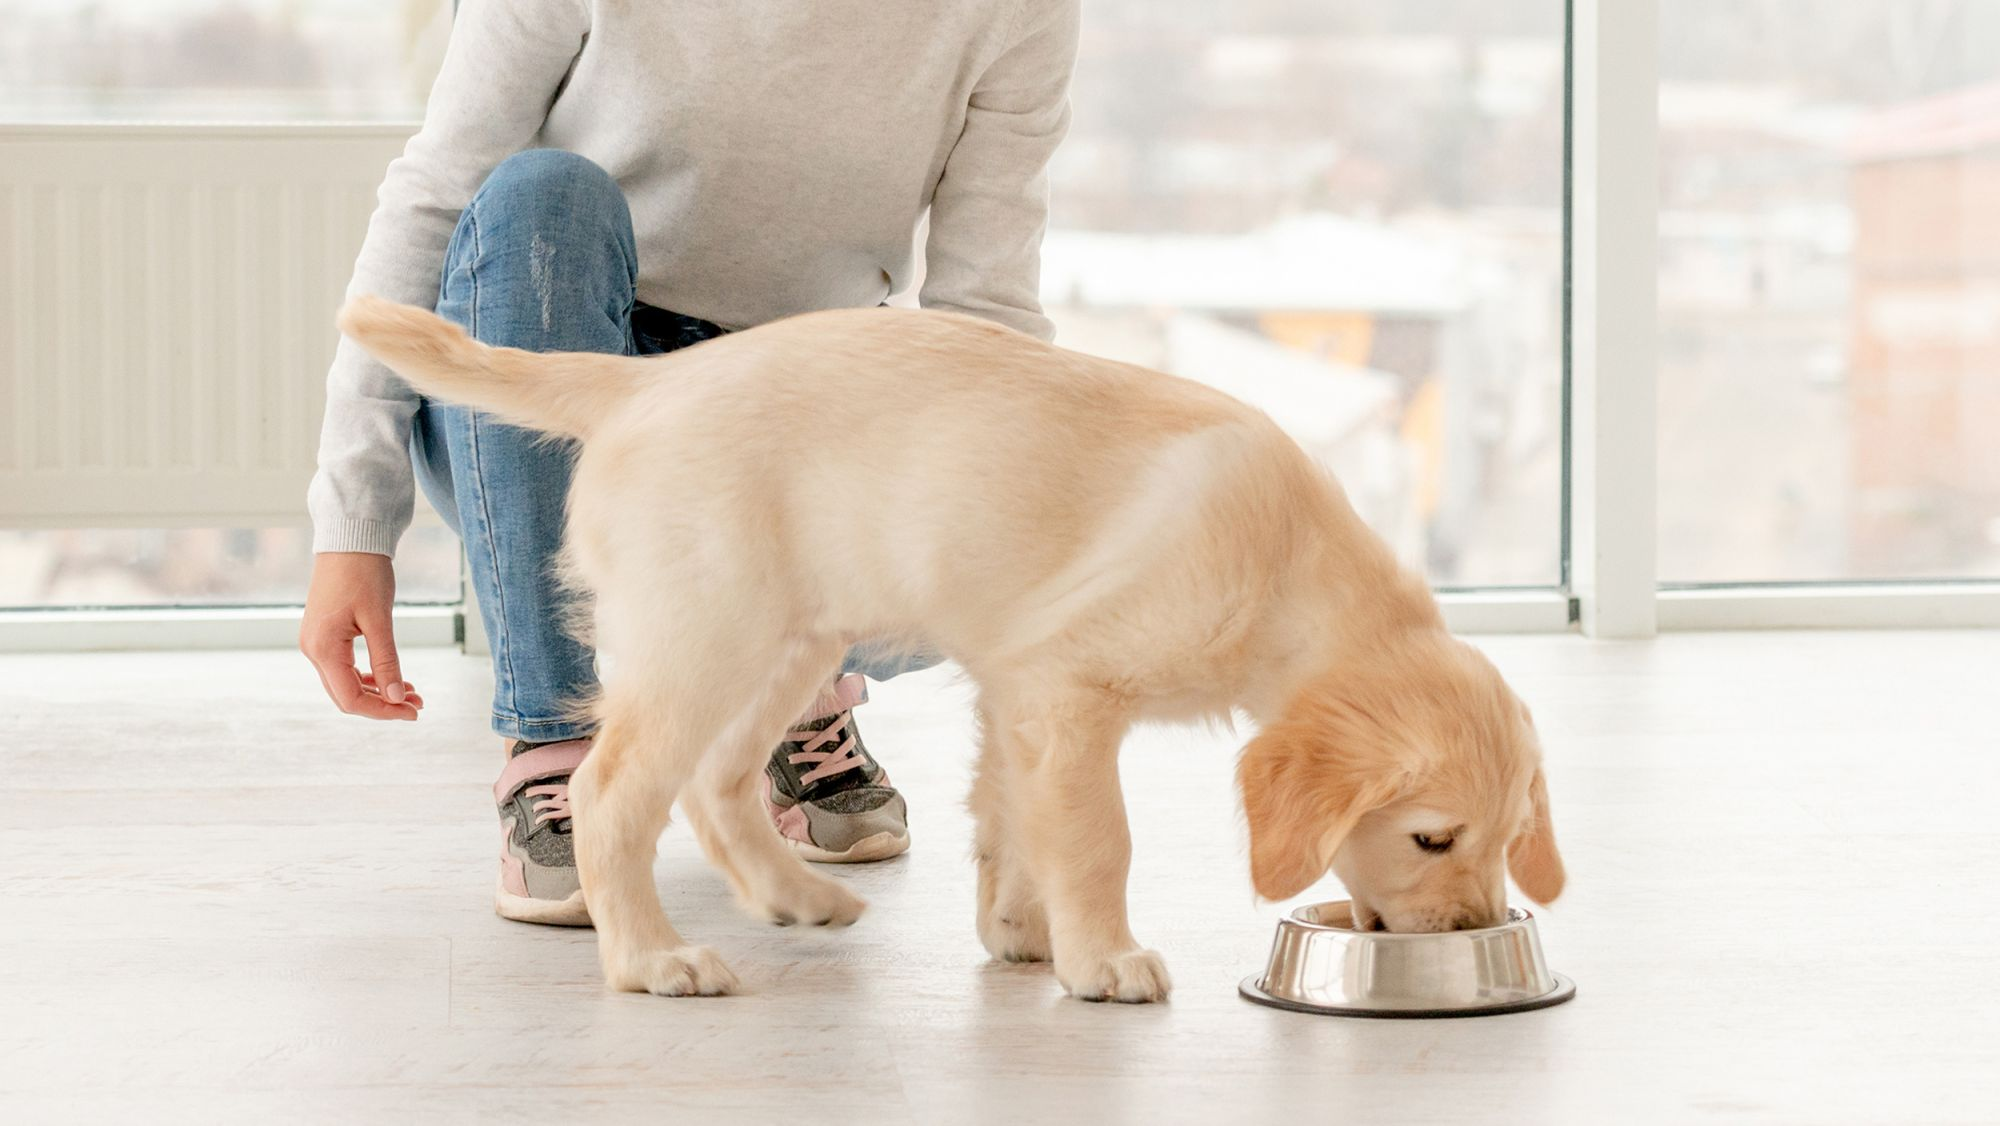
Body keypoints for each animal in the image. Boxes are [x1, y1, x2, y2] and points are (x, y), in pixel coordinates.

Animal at [340, 298, 1560, 1004]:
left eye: (1504, 840)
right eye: (1432, 836)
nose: (1476, 929)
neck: (1282, 562)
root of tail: (645, 379)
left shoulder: (1017, 689)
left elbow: (1011, 821)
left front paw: (1021, 931)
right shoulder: (1070, 691)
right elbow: (1095, 838)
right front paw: (1102, 958)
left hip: (792, 634)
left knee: (718, 782)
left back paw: (795, 897)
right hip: (704, 633)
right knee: (612, 794)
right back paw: (650, 959)